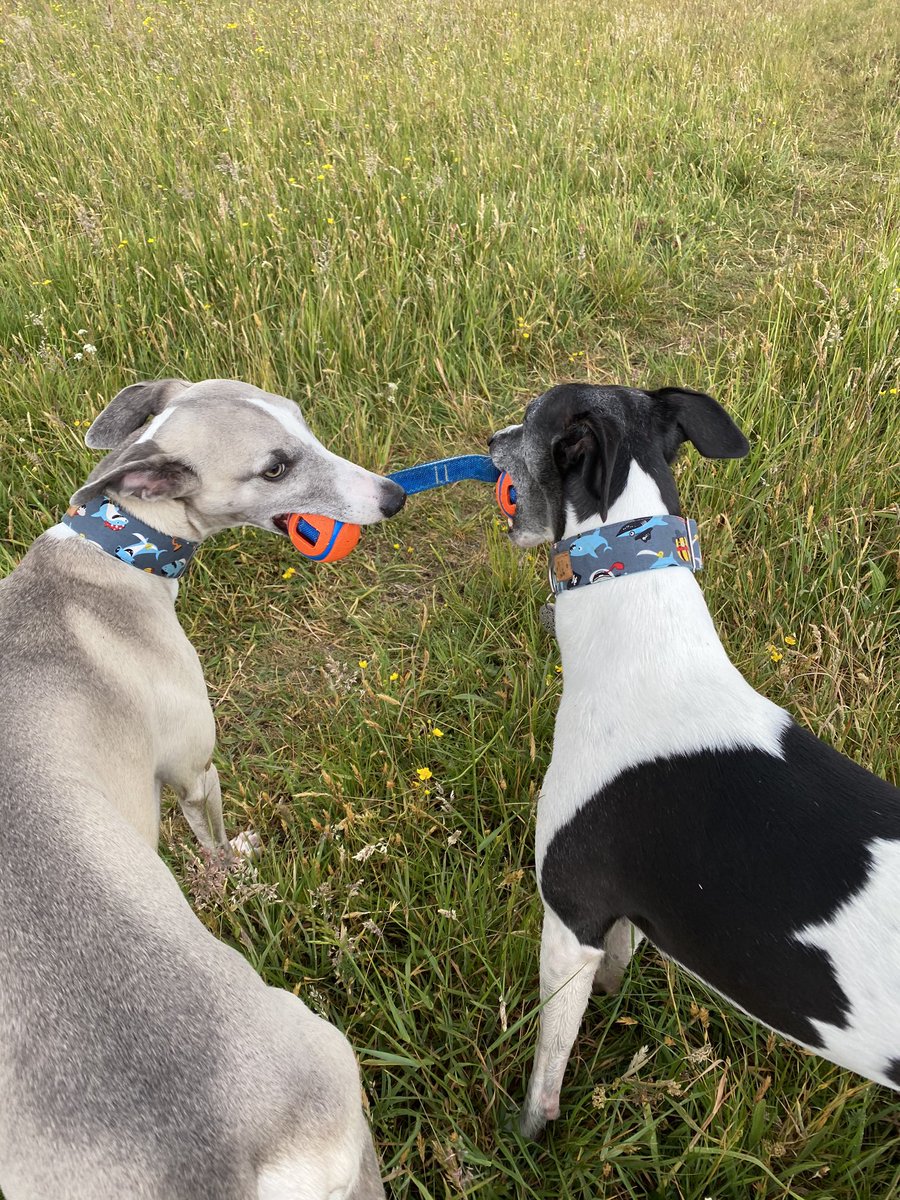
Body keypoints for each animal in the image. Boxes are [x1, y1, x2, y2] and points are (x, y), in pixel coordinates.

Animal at [489, 381, 900, 1132]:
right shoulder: (619, 916)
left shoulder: (570, 919)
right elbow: (619, 966)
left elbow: (545, 1074)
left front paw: (522, 1141)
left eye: (532, 417)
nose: (488, 440)